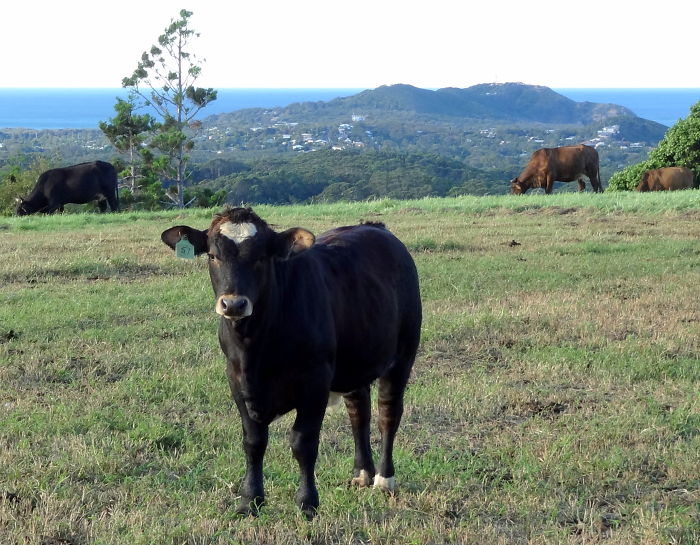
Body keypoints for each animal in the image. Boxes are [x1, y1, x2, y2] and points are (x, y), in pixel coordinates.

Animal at [161, 207, 422, 518]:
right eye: (213, 255)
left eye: (261, 257)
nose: (234, 304)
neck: (255, 349)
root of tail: (376, 227)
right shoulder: (236, 380)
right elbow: (253, 442)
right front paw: (250, 501)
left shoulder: (315, 381)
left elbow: (303, 442)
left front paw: (307, 502)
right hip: (355, 360)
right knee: (359, 412)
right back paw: (361, 473)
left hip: (403, 356)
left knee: (388, 413)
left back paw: (384, 479)